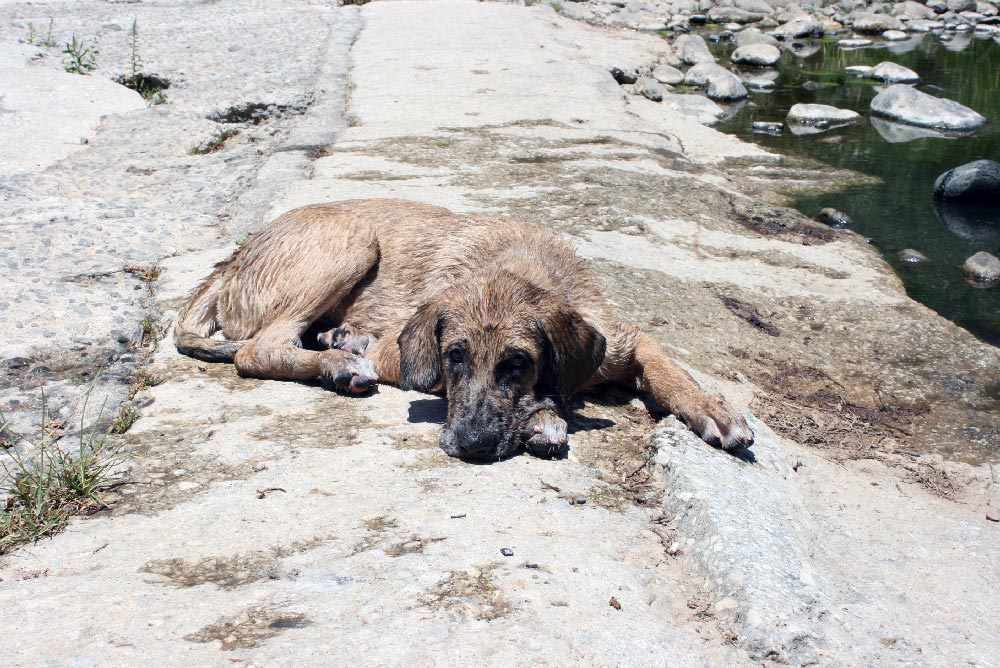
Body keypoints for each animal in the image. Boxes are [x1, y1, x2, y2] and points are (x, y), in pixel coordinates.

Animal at [174, 198, 752, 460]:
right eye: (454, 357)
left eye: (518, 363)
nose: (470, 446)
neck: (525, 266)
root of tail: (232, 258)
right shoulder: (406, 357)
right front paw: (545, 419)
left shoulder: (623, 339)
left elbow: (671, 369)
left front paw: (714, 409)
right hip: (355, 237)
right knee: (255, 349)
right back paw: (339, 363)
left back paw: (339, 342)